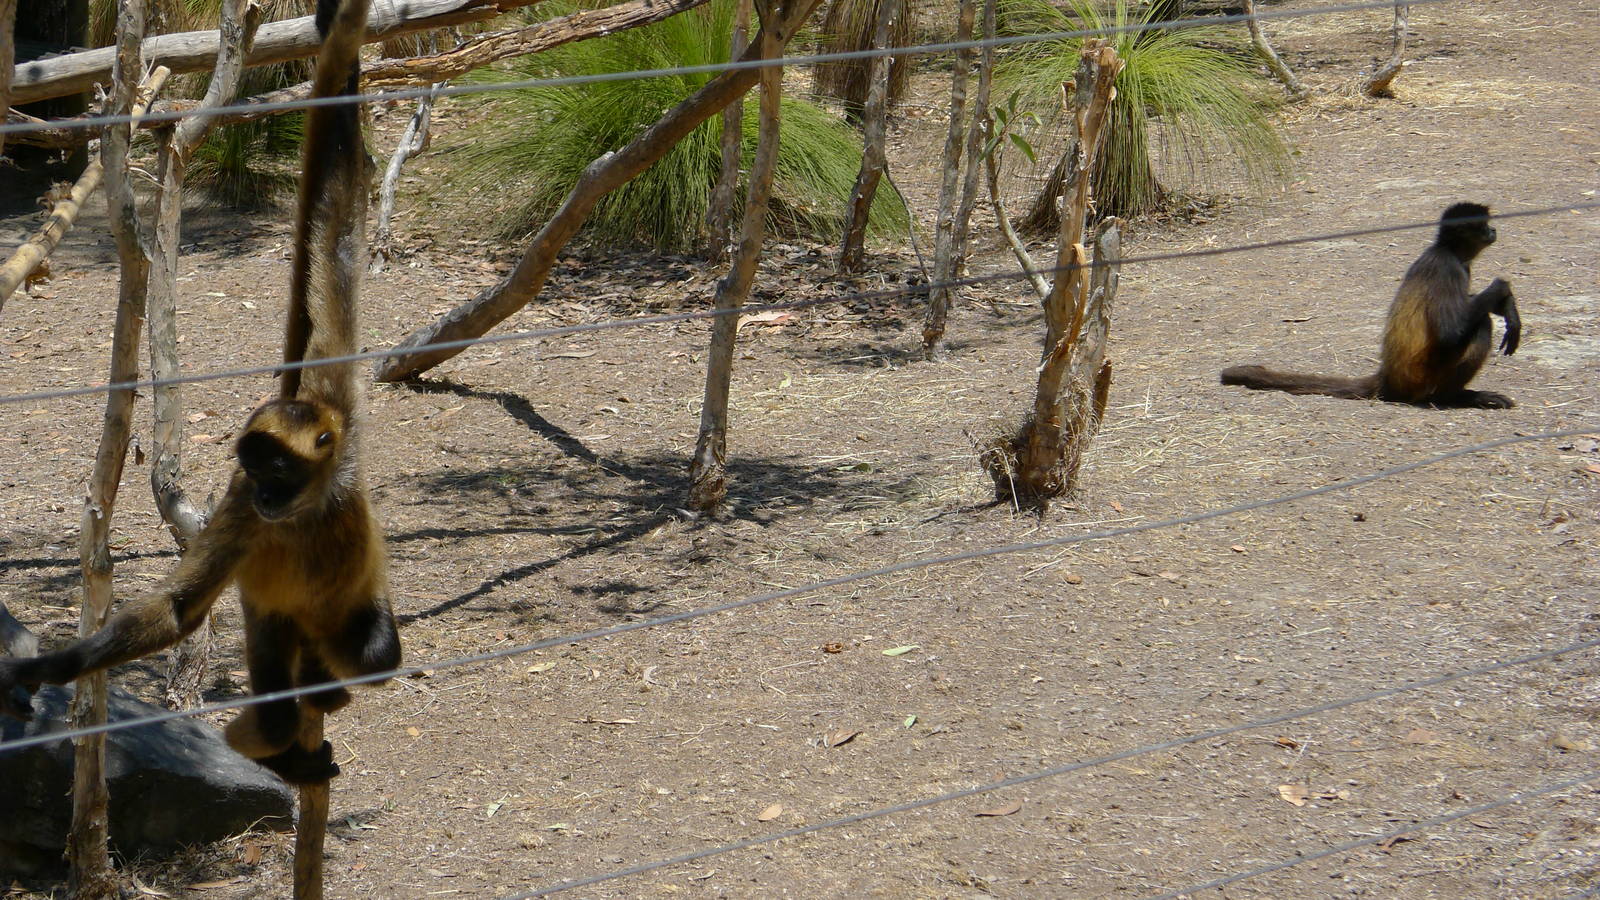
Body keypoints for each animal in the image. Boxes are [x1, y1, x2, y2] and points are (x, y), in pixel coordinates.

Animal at [0, 0, 396, 785]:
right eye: (255, 469)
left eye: (278, 467)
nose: (266, 489)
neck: (304, 508)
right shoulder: (243, 511)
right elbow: (181, 609)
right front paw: (52, 666)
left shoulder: (338, 408)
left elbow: (336, 235)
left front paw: (345, 41)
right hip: (275, 622)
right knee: (285, 694)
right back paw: (280, 736)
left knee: (373, 651)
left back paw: (327, 694)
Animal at [1221, 202, 1521, 409]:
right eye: (1483, 225)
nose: (1494, 230)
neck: (1447, 250)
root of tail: (1388, 378)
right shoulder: (1448, 267)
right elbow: (1450, 333)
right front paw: (1502, 292)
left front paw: (1506, 305)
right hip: (1424, 377)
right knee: (1481, 325)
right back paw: (1452, 398)